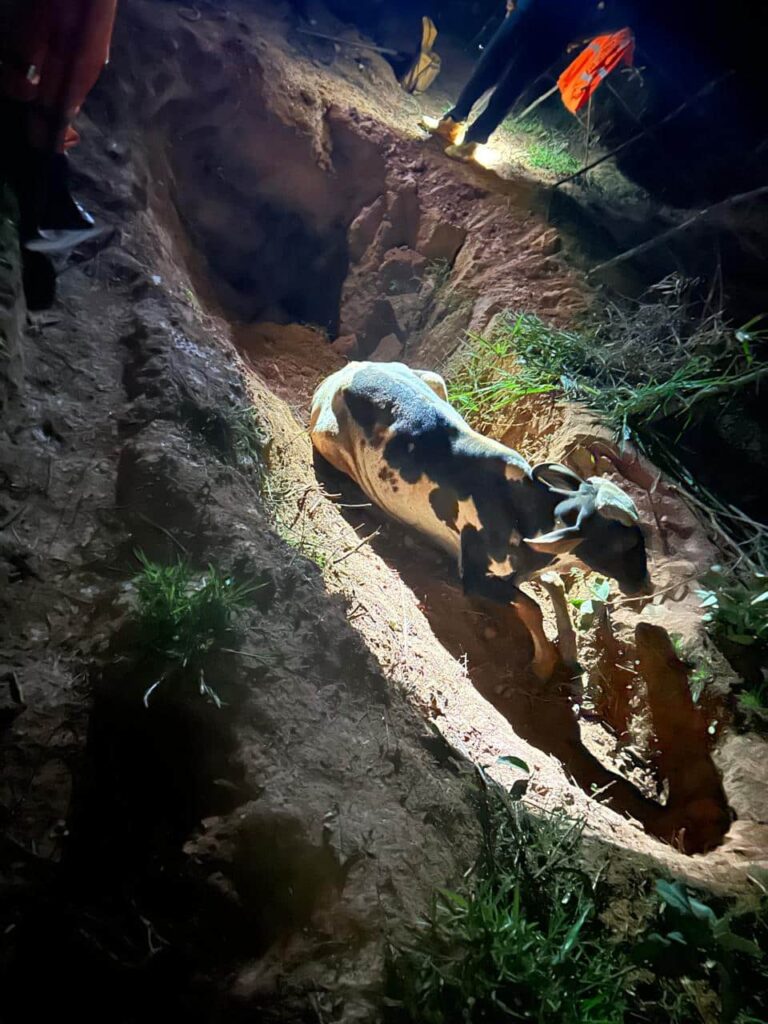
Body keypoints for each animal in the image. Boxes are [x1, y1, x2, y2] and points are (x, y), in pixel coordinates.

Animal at [310, 361, 651, 678]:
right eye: (623, 542)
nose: (644, 583)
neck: (522, 512)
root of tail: (346, 371)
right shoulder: (475, 578)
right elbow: (532, 607)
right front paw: (543, 664)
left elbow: (554, 586)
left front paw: (568, 653)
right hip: (329, 444)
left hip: (435, 380)